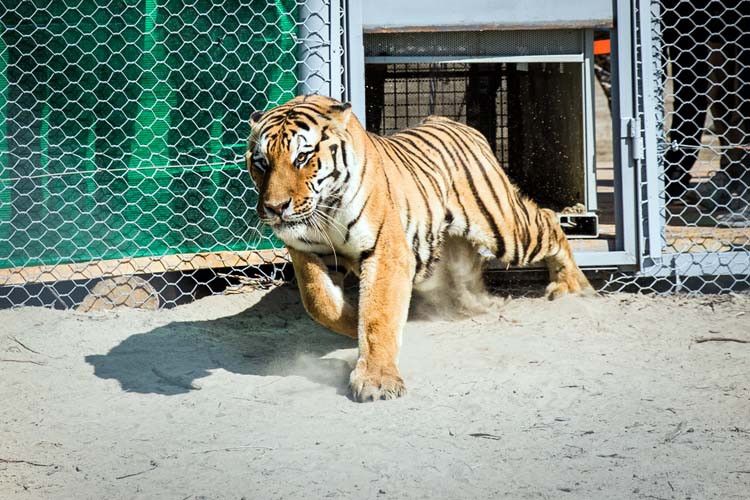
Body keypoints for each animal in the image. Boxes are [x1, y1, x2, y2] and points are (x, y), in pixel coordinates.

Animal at [247, 94, 592, 402]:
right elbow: (320, 303)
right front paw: (351, 320)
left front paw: (376, 380)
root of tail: (450, 121)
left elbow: (378, 315)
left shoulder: (386, 251)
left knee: (548, 219)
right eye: (262, 163)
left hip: (505, 229)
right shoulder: (306, 251)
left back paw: (572, 286)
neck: (325, 209)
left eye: (302, 158)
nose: (275, 208)